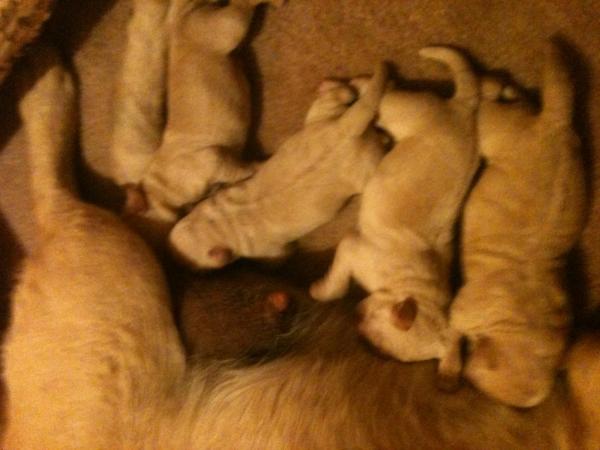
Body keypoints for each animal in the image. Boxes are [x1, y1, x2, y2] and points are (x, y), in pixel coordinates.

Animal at [168, 63, 388, 269]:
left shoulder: (268, 251)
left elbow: (280, 257)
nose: (172, 256)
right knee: (340, 95)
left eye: (192, 265)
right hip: (323, 119)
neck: (221, 223)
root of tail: (345, 129)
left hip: (365, 168)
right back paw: (347, 84)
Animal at [310, 47, 480, 377]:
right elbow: (337, 283)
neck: (408, 288)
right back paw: (361, 82)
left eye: (378, 348)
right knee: (384, 92)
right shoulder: (351, 247)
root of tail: (463, 110)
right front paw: (321, 291)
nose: (355, 319)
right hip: (404, 111)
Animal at [444, 43, 587, 407]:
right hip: (496, 129)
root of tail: (556, 122)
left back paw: (505, 87)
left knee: (520, 100)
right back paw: (492, 84)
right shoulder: (460, 310)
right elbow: (451, 335)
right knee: (489, 103)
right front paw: (449, 369)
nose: (471, 390)